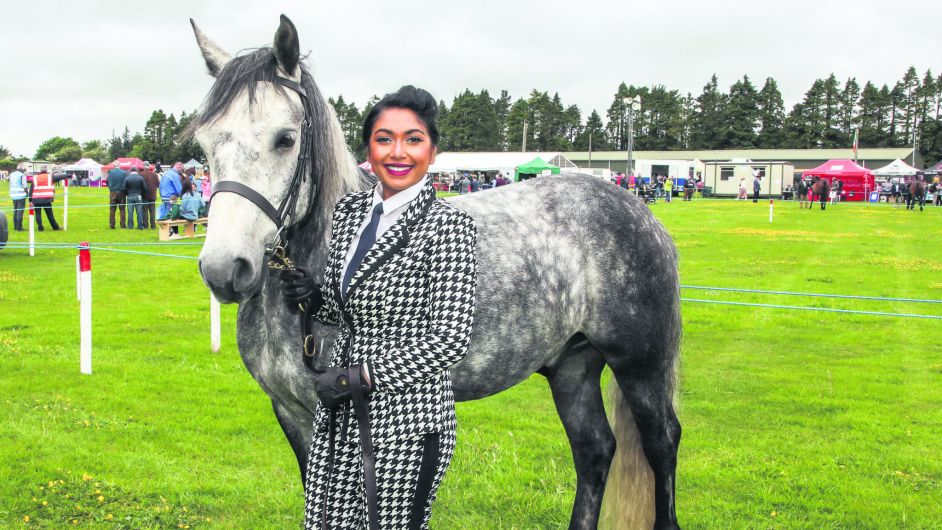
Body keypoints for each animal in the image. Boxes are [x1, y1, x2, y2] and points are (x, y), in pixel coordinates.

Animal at [192, 14, 684, 524]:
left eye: (285, 138)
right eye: (204, 142)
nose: (224, 268)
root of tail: (639, 210)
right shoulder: (292, 413)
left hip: (640, 365)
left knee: (662, 444)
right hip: (573, 366)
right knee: (594, 450)